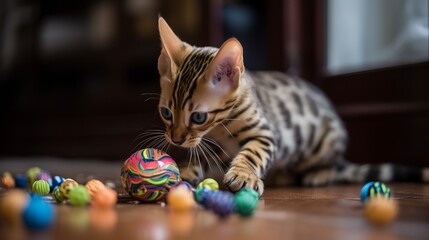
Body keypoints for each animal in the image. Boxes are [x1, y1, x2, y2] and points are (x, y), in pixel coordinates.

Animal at [146, 17, 424, 196]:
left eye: (198, 117)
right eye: (166, 113)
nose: (176, 139)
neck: (218, 129)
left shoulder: (266, 133)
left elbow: (253, 152)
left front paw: (244, 173)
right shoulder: (211, 147)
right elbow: (202, 155)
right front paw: (187, 168)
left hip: (327, 142)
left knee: (332, 165)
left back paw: (319, 174)